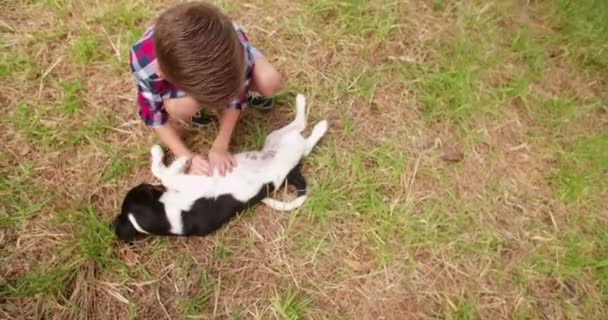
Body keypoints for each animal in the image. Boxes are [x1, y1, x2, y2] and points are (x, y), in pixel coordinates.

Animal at [113, 94, 328, 241]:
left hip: (275, 138)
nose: (156, 186)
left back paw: (305, 106)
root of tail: (291, 172)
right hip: (289, 146)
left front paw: (165, 156)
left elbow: (163, 171)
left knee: (301, 127)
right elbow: (163, 172)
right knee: (304, 138)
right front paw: (176, 160)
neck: (167, 216)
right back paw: (320, 125)